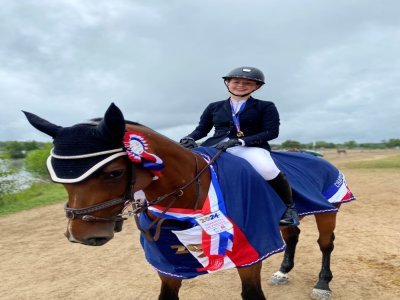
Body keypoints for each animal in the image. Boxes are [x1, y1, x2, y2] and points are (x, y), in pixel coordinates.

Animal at [24, 103, 354, 300]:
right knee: (292, 234)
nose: (82, 236)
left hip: (329, 211)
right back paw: (283, 271)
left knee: (325, 244)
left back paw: (322, 284)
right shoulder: (169, 263)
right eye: (57, 178)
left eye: (114, 172)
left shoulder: (250, 252)